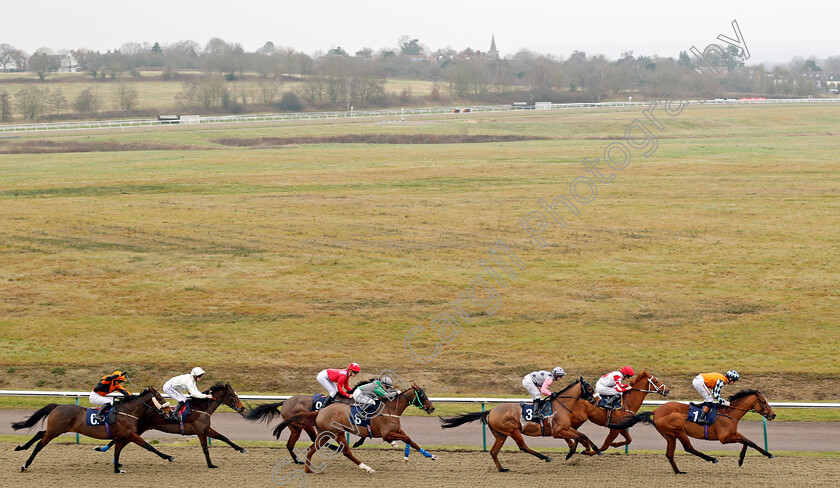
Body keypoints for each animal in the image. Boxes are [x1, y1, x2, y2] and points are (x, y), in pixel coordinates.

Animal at [12, 386, 172, 472]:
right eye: (160, 398)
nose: (170, 411)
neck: (127, 412)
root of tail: (58, 406)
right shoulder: (131, 434)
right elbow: (149, 446)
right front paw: (168, 456)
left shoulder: (122, 437)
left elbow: (117, 452)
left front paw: (117, 469)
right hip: (54, 431)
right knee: (39, 445)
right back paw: (25, 465)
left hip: (55, 430)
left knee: (39, 433)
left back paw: (21, 447)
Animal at [94, 382, 248, 468]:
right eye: (232, 395)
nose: (242, 408)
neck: (201, 408)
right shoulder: (202, 430)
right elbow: (211, 445)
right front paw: (212, 464)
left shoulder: (203, 431)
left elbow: (221, 439)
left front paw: (240, 449)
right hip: (137, 430)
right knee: (119, 442)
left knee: (119, 442)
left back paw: (110, 456)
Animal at [278, 384, 436, 474]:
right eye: (422, 395)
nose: (432, 408)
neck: (390, 409)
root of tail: (320, 411)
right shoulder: (387, 434)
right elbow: (407, 438)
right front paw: (406, 457)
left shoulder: (396, 430)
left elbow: (411, 440)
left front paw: (430, 455)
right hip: (337, 432)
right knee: (346, 451)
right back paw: (367, 468)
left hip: (324, 434)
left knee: (311, 449)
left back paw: (308, 469)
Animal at [440, 378, 596, 472]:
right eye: (589, 388)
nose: (596, 399)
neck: (560, 405)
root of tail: (491, 411)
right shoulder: (557, 432)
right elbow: (580, 436)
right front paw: (588, 450)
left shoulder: (565, 428)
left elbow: (580, 436)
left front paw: (579, 451)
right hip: (513, 430)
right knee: (523, 447)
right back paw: (545, 457)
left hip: (500, 435)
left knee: (493, 451)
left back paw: (502, 469)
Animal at [612, 388, 776, 472]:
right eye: (763, 401)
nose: (773, 415)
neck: (729, 413)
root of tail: (656, 410)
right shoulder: (725, 438)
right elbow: (749, 441)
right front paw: (768, 454)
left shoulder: (732, 434)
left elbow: (747, 441)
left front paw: (741, 459)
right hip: (678, 430)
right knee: (689, 448)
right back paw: (712, 459)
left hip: (669, 435)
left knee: (669, 454)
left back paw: (678, 471)